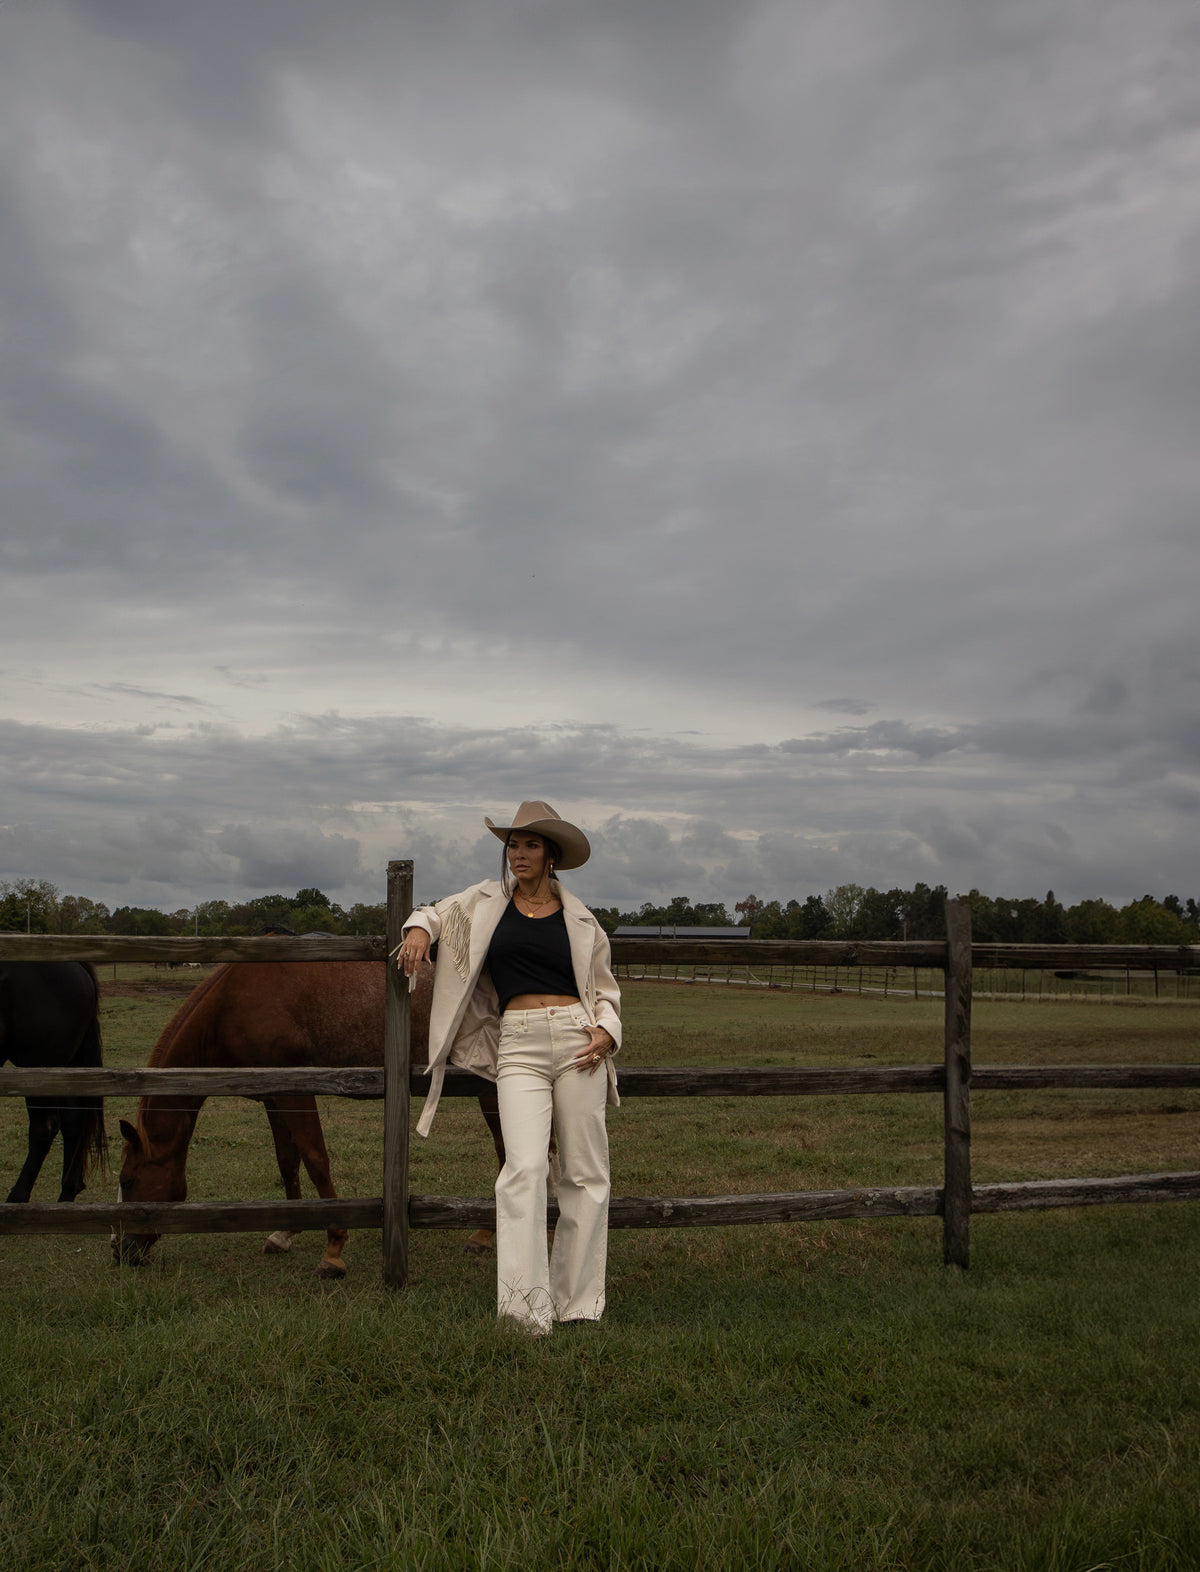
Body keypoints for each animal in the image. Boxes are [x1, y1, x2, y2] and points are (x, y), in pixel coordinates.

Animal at [112, 955, 503, 1276]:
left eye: (127, 1180)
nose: (120, 1251)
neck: (231, 1003)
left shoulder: (296, 1091)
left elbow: (315, 1159)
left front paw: (333, 1249)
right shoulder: (273, 1095)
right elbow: (287, 1159)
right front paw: (284, 1232)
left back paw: (486, 1234)